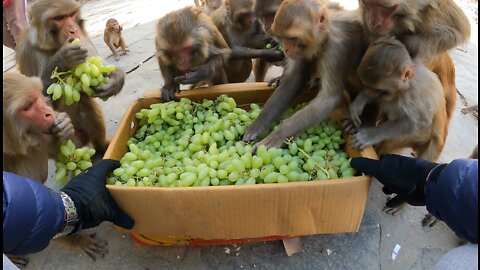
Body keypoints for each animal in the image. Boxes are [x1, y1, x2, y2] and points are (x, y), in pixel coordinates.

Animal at [2, 71, 108, 266]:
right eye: (27, 107)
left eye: (37, 98)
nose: (48, 112)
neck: (12, 151)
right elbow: (33, 216)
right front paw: (78, 241)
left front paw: (64, 125)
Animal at [15, 0, 125, 156]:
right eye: (59, 18)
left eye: (71, 14)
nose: (73, 30)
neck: (54, 45)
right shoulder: (27, 52)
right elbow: (34, 102)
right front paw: (62, 58)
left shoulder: (82, 37)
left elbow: (99, 66)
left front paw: (116, 80)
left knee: (85, 101)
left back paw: (102, 146)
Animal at [244, 0, 364, 148]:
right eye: (284, 38)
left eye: (292, 38)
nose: (286, 48)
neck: (325, 34)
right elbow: (293, 80)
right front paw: (258, 125)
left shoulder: (336, 47)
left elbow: (328, 99)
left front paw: (276, 137)